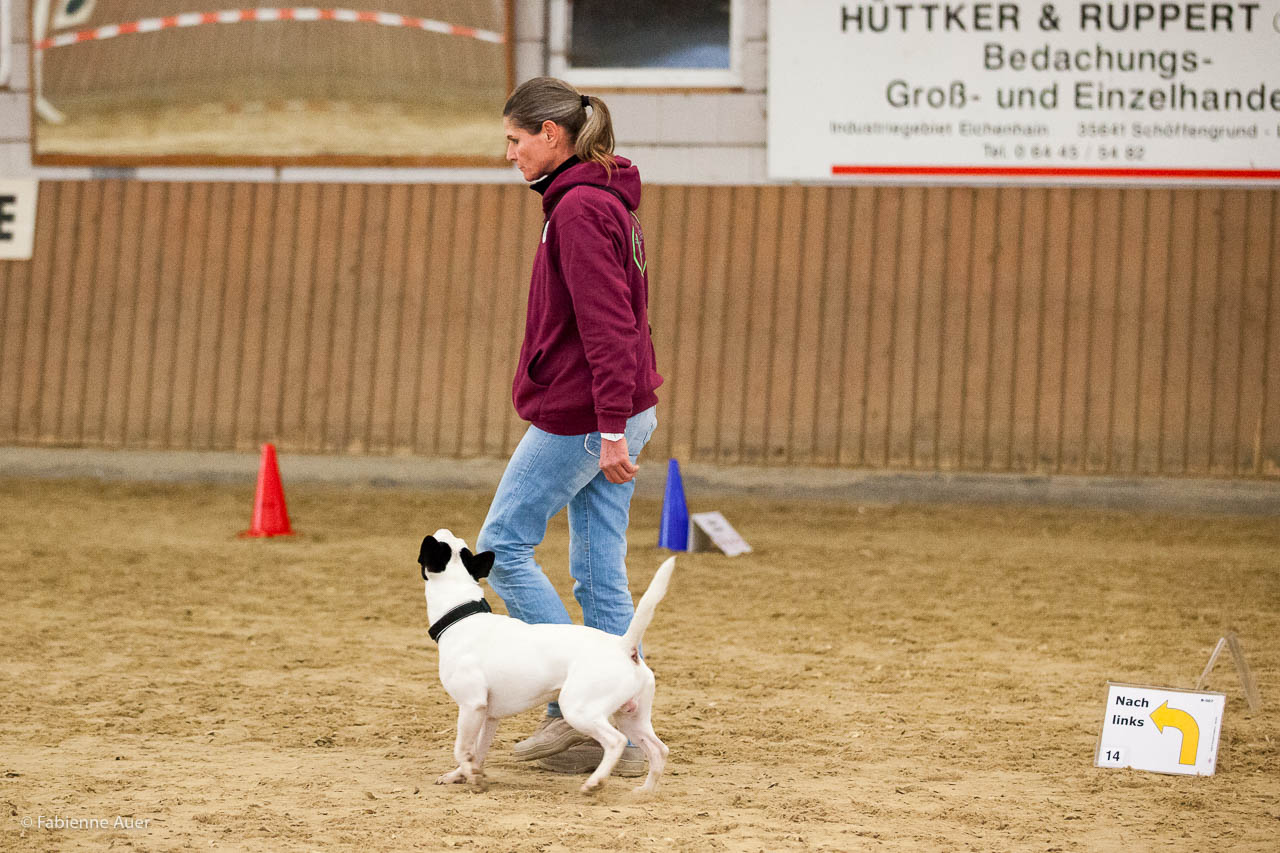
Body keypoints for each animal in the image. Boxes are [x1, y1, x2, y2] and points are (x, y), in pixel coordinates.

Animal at [418, 528, 675, 794]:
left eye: (438, 546)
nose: (441, 530)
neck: (461, 616)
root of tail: (624, 646)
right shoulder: (488, 716)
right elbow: (476, 751)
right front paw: (464, 774)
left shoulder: (471, 706)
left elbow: (461, 748)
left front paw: (472, 777)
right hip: (631, 718)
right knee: (659, 750)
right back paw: (644, 792)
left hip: (579, 710)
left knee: (616, 741)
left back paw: (595, 782)